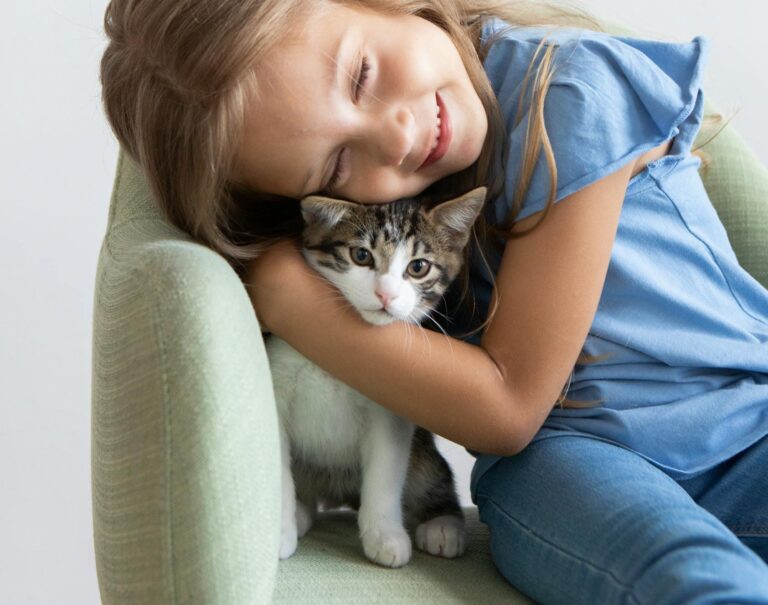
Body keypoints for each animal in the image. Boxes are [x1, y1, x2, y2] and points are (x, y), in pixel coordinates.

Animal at [268, 185, 486, 568]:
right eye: (361, 255)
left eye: (418, 267)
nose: (386, 294)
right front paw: (280, 532)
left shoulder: (393, 399)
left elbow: (386, 470)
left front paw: (385, 536)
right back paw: (301, 511)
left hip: (423, 452)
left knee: (431, 473)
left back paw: (442, 524)